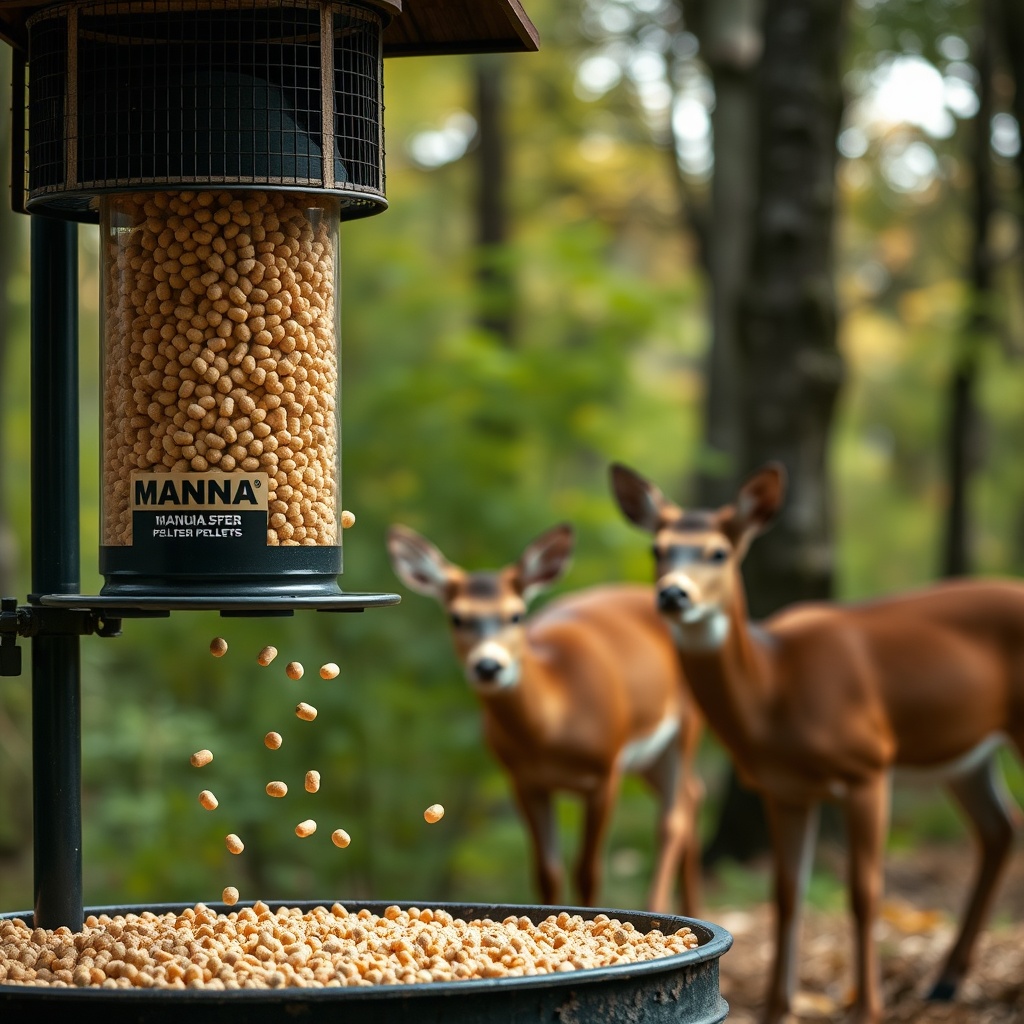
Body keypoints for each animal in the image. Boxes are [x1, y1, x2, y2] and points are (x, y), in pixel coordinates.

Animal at [387, 521, 704, 915]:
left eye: (516, 614)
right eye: (457, 617)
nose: (488, 666)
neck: (553, 725)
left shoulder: (606, 770)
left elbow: (587, 869)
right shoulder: (524, 780)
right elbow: (547, 871)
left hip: (688, 721)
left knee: (673, 818)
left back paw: (662, 905)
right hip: (650, 758)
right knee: (694, 793)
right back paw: (693, 909)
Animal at [609, 460, 1024, 1024]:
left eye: (718, 551)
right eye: (657, 548)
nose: (673, 595)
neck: (776, 690)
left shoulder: (870, 764)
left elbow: (864, 891)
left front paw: (868, 1008)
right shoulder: (784, 789)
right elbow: (787, 894)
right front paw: (776, 1010)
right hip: (967, 757)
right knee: (1000, 829)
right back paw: (943, 983)